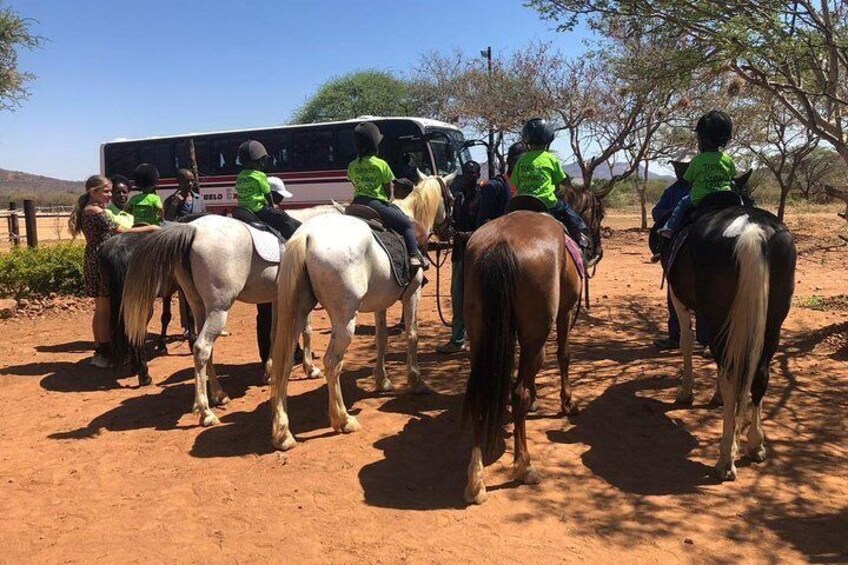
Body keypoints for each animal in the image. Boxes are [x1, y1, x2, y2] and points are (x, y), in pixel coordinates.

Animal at [123, 205, 342, 426]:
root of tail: (193, 230)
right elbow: (306, 330)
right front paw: (310, 368)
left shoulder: (277, 298)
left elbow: (274, 334)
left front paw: (270, 371)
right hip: (219, 309)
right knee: (202, 348)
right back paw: (206, 412)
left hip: (199, 306)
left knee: (203, 349)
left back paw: (218, 395)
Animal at [272, 172, 458, 450]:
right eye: (453, 198)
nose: (450, 231)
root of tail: (306, 236)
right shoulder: (413, 294)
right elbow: (412, 335)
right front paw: (416, 381)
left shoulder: (380, 303)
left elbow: (381, 338)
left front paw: (382, 380)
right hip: (344, 320)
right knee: (332, 363)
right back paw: (342, 419)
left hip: (297, 313)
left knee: (284, 363)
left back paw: (283, 433)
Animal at [464, 210, 584, 502]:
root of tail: (500, 244)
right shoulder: (565, 311)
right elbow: (563, 355)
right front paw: (568, 402)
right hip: (534, 334)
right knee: (519, 393)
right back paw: (524, 465)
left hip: (479, 335)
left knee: (479, 394)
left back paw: (476, 479)